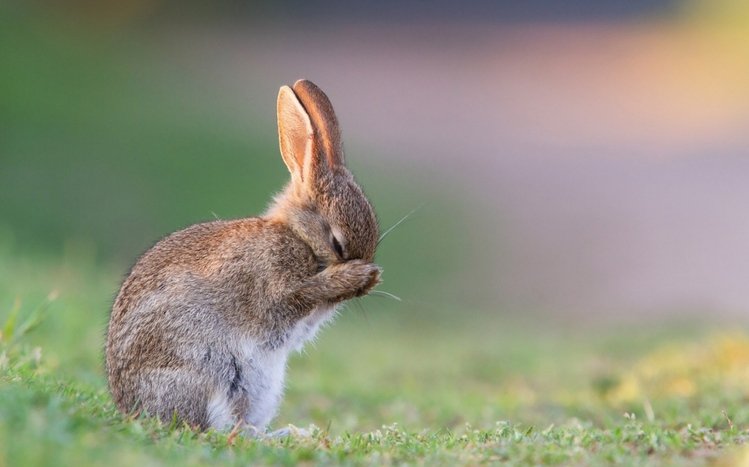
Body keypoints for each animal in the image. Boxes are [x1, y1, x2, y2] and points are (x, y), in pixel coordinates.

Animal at [105, 79, 381, 435]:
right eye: (337, 243)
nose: (367, 279)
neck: (298, 236)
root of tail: (132, 409)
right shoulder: (275, 286)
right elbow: (298, 296)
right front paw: (355, 276)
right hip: (212, 373)